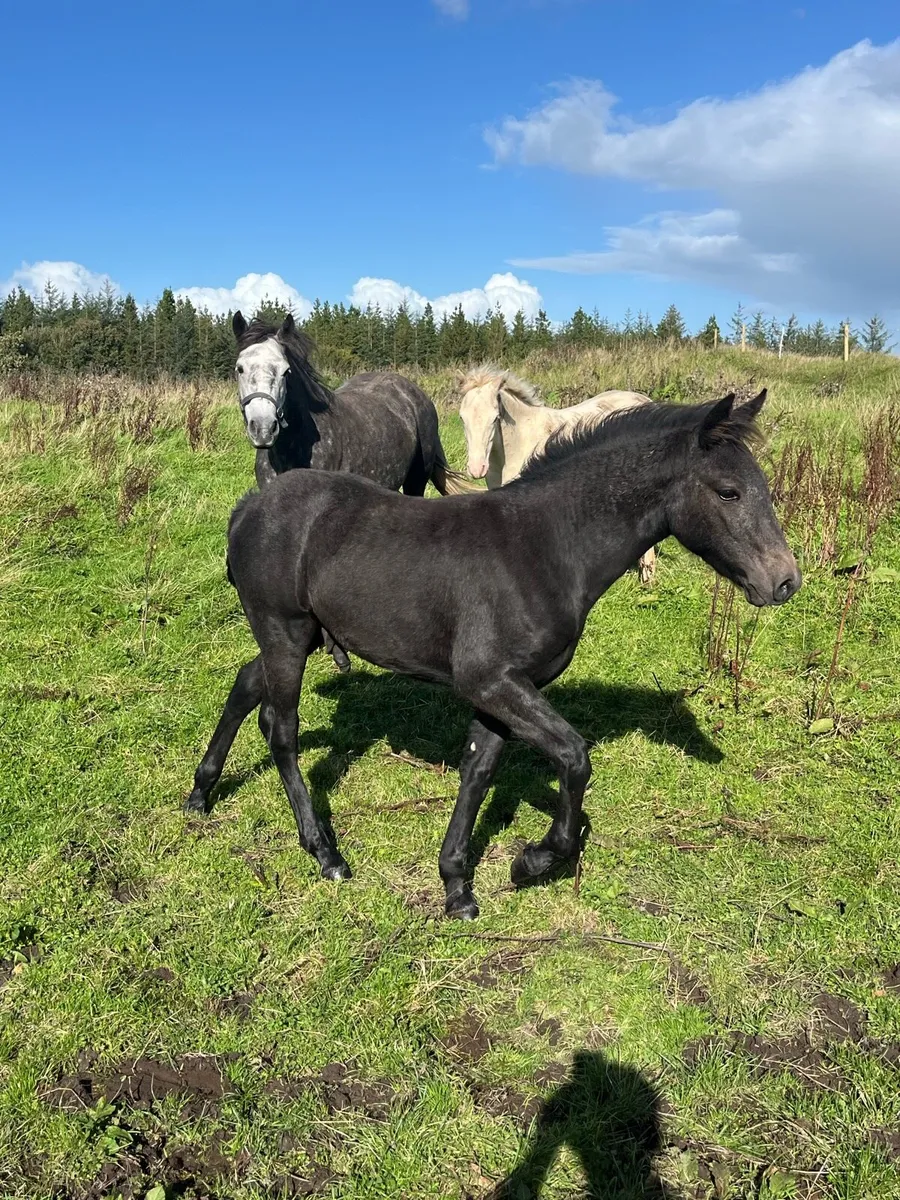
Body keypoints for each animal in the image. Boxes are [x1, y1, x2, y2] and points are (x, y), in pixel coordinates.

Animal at [186, 390, 800, 920]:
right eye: (728, 491)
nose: (785, 581)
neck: (547, 546)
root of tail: (248, 507)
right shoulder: (489, 680)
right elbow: (574, 757)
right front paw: (533, 861)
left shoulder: (505, 688)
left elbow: (478, 771)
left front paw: (457, 884)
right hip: (285, 633)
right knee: (282, 731)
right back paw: (325, 852)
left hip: (300, 635)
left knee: (247, 686)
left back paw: (200, 792)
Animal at [233, 311, 474, 670]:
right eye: (240, 367)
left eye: (286, 371)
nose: (263, 428)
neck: (296, 448)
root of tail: (411, 390)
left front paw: (337, 649)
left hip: (416, 477)